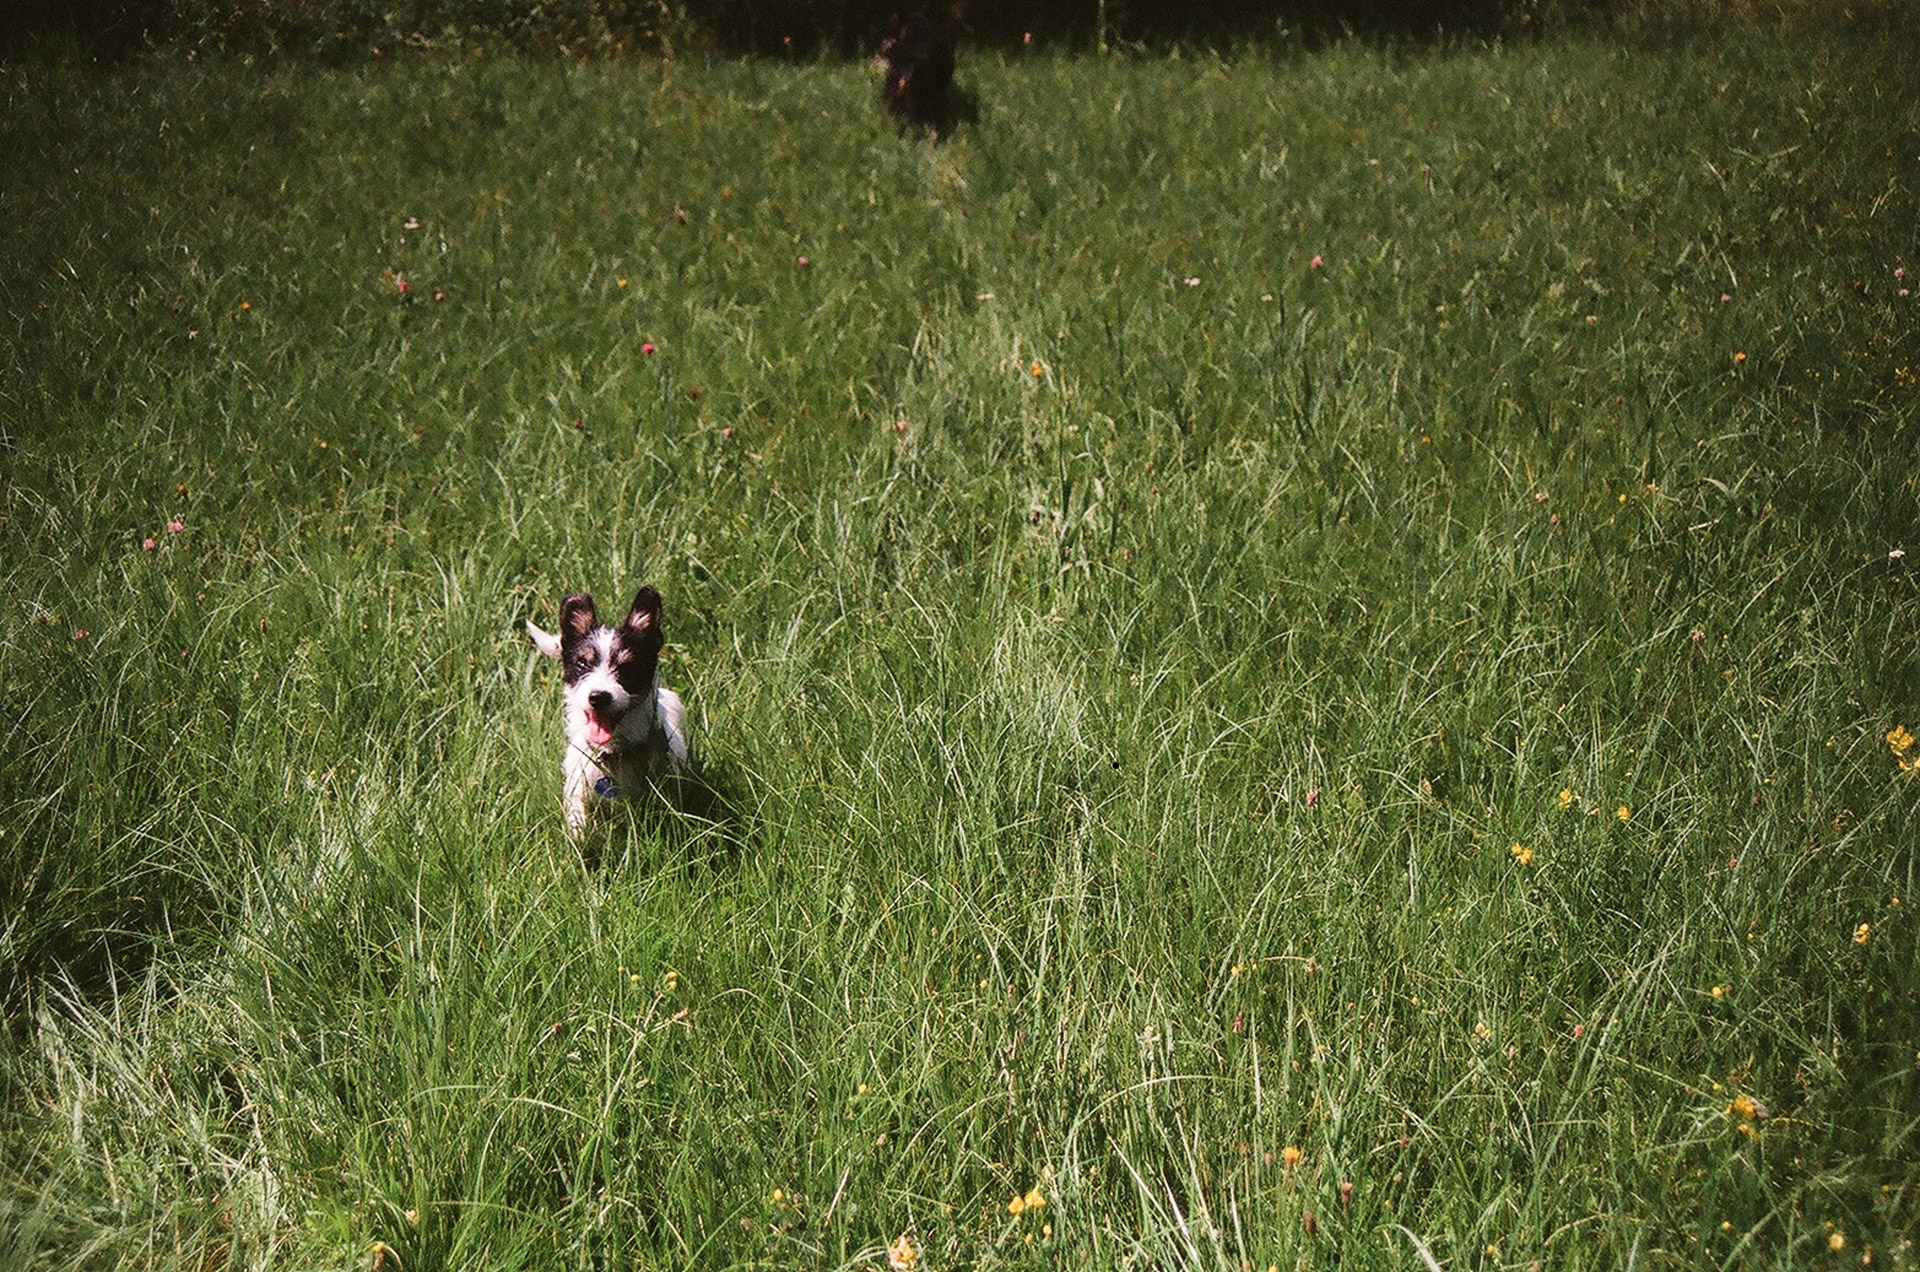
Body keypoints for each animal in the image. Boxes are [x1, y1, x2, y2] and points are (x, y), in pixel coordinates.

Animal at [529, 591, 695, 845]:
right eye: (582, 663)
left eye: (627, 667)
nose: (598, 697)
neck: (611, 755)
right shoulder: (576, 785)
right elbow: (577, 816)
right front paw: (580, 833)